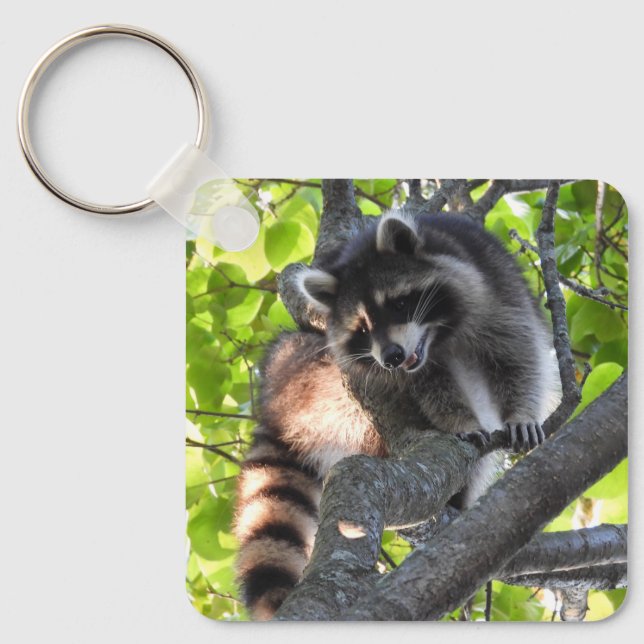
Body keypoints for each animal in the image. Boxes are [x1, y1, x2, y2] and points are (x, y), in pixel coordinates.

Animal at [234, 210, 560, 619]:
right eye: (363, 327)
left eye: (398, 304)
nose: (390, 356)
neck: (438, 335)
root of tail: (276, 398)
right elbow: (433, 389)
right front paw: (460, 420)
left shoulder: (496, 285)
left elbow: (519, 354)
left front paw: (521, 413)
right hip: (314, 377)